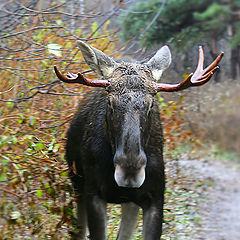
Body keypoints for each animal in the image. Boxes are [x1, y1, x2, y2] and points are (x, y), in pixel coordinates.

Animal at [54, 41, 223, 240]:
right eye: (109, 102)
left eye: (151, 104)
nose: (130, 169)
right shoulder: (93, 192)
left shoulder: (155, 197)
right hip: (77, 184)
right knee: (78, 231)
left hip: (130, 203)